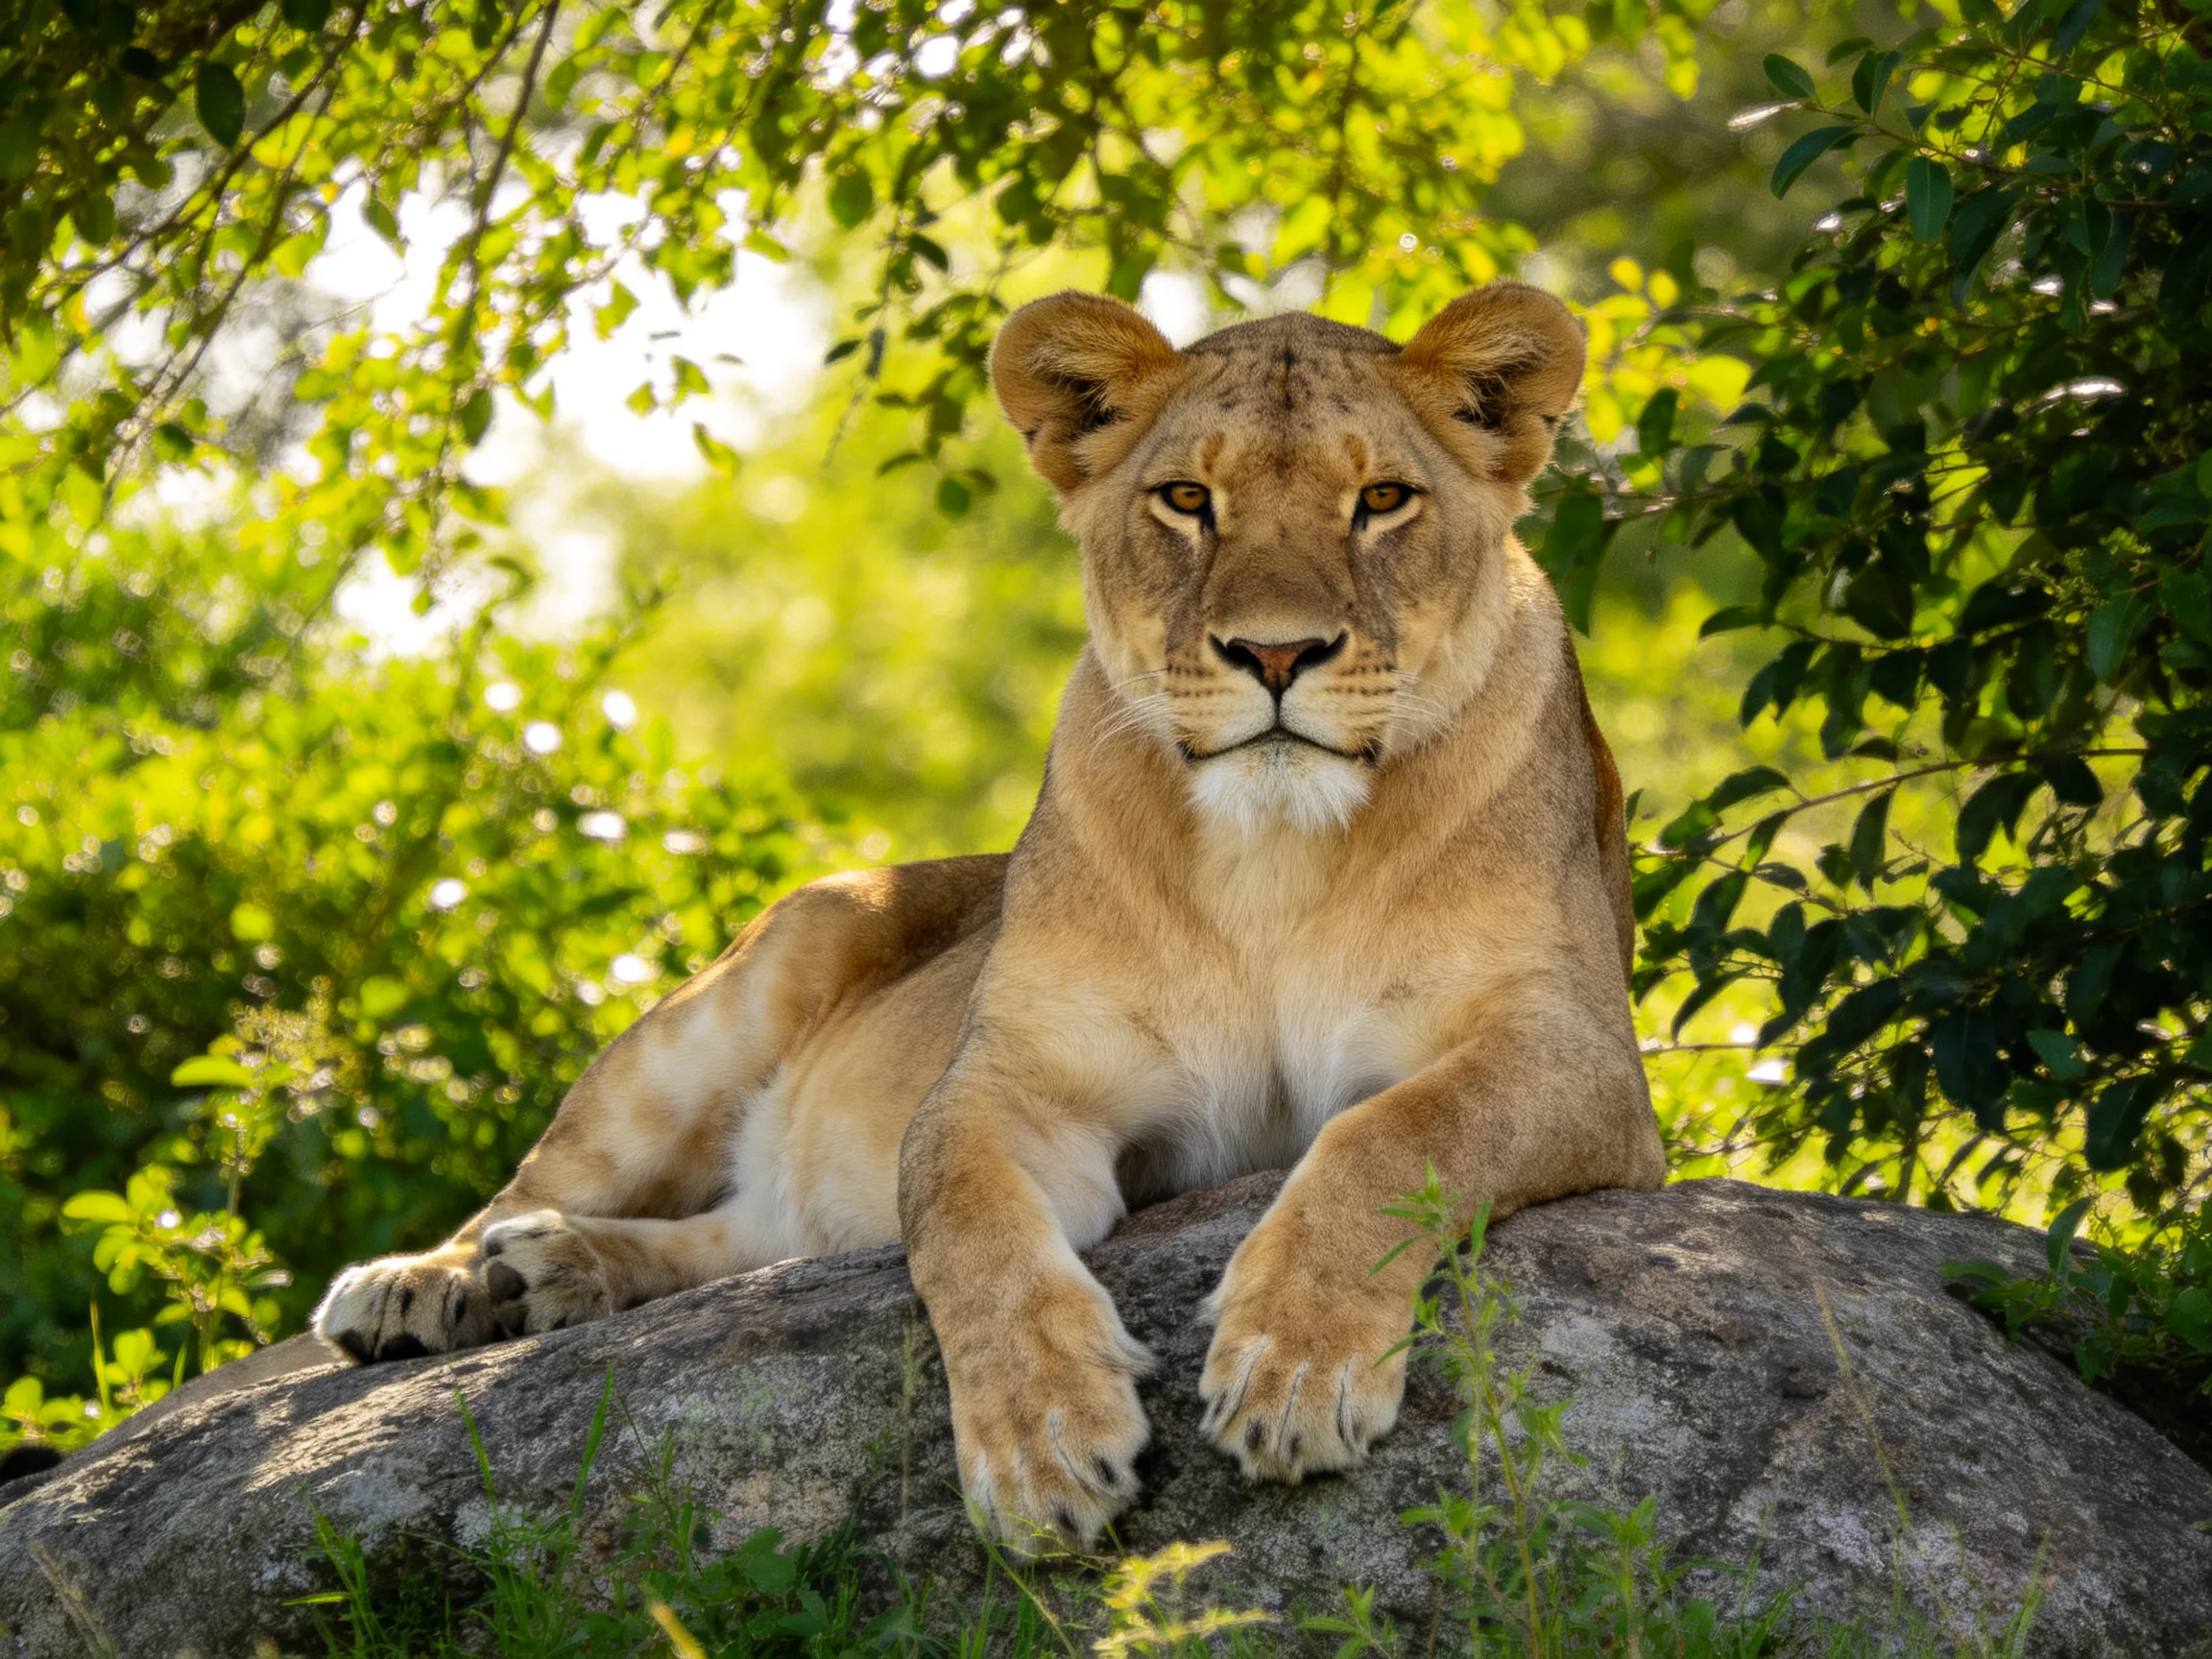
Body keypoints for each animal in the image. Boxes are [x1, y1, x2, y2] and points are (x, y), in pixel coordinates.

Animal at [313, 281, 1666, 1550]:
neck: (1274, 857)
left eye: (1382, 499)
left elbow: (1397, 1132)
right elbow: (966, 1225)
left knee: (754, 1239)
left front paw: (1292, 1366)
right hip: (756, 975)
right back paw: (443, 1282)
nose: (1276, 656)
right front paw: (1043, 1452)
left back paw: (553, 1271)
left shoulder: (1581, 1056)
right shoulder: (1014, 1081)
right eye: (1186, 500)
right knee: (549, 1175)